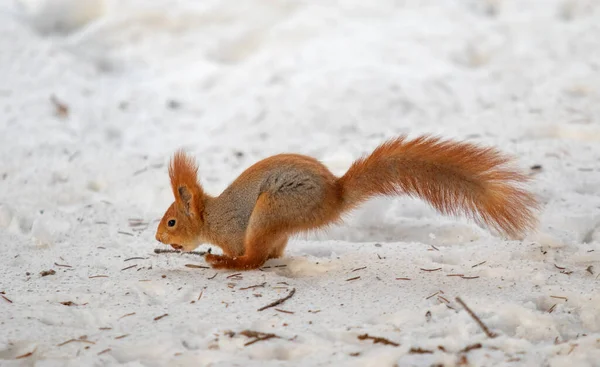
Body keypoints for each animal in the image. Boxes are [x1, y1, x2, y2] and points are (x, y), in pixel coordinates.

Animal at [155, 135, 540, 270]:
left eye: (172, 221)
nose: (158, 238)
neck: (211, 217)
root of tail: (334, 195)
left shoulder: (235, 230)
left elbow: (247, 254)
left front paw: (221, 256)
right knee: (274, 251)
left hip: (272, 209)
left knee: (256, 258)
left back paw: (224, 263)